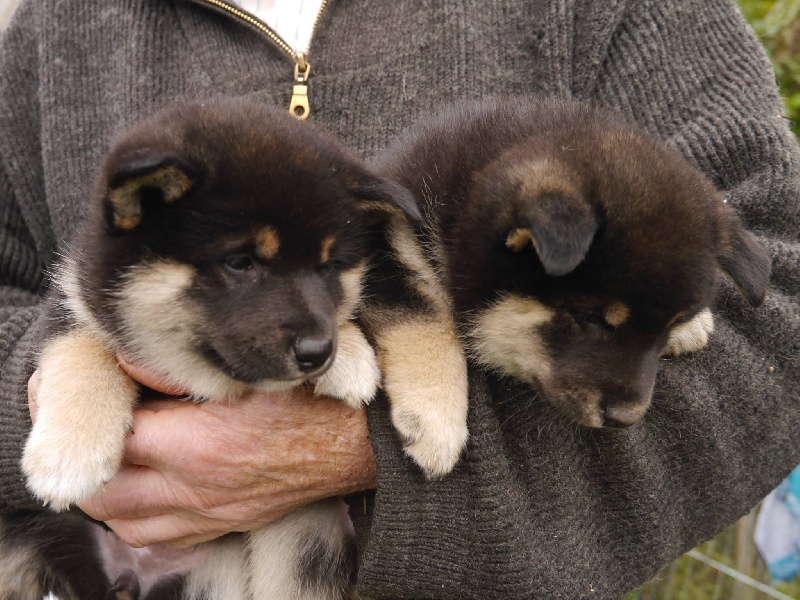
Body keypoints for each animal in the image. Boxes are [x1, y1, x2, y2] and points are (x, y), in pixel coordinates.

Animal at [14, 98, 432, 600]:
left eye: (328, 265)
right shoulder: (73, 298)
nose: (318, 351)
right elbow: (81, 350)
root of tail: (129, 577)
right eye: (240, 262)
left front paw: (349, 354)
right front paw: (69, 454)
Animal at [368, 96, 768, 428]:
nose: (624, 419)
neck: (464, 202)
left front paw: (694, 325)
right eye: (588, 317)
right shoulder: (386, 228)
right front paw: (433, 415)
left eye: (666, 328)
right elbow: (419, 313)